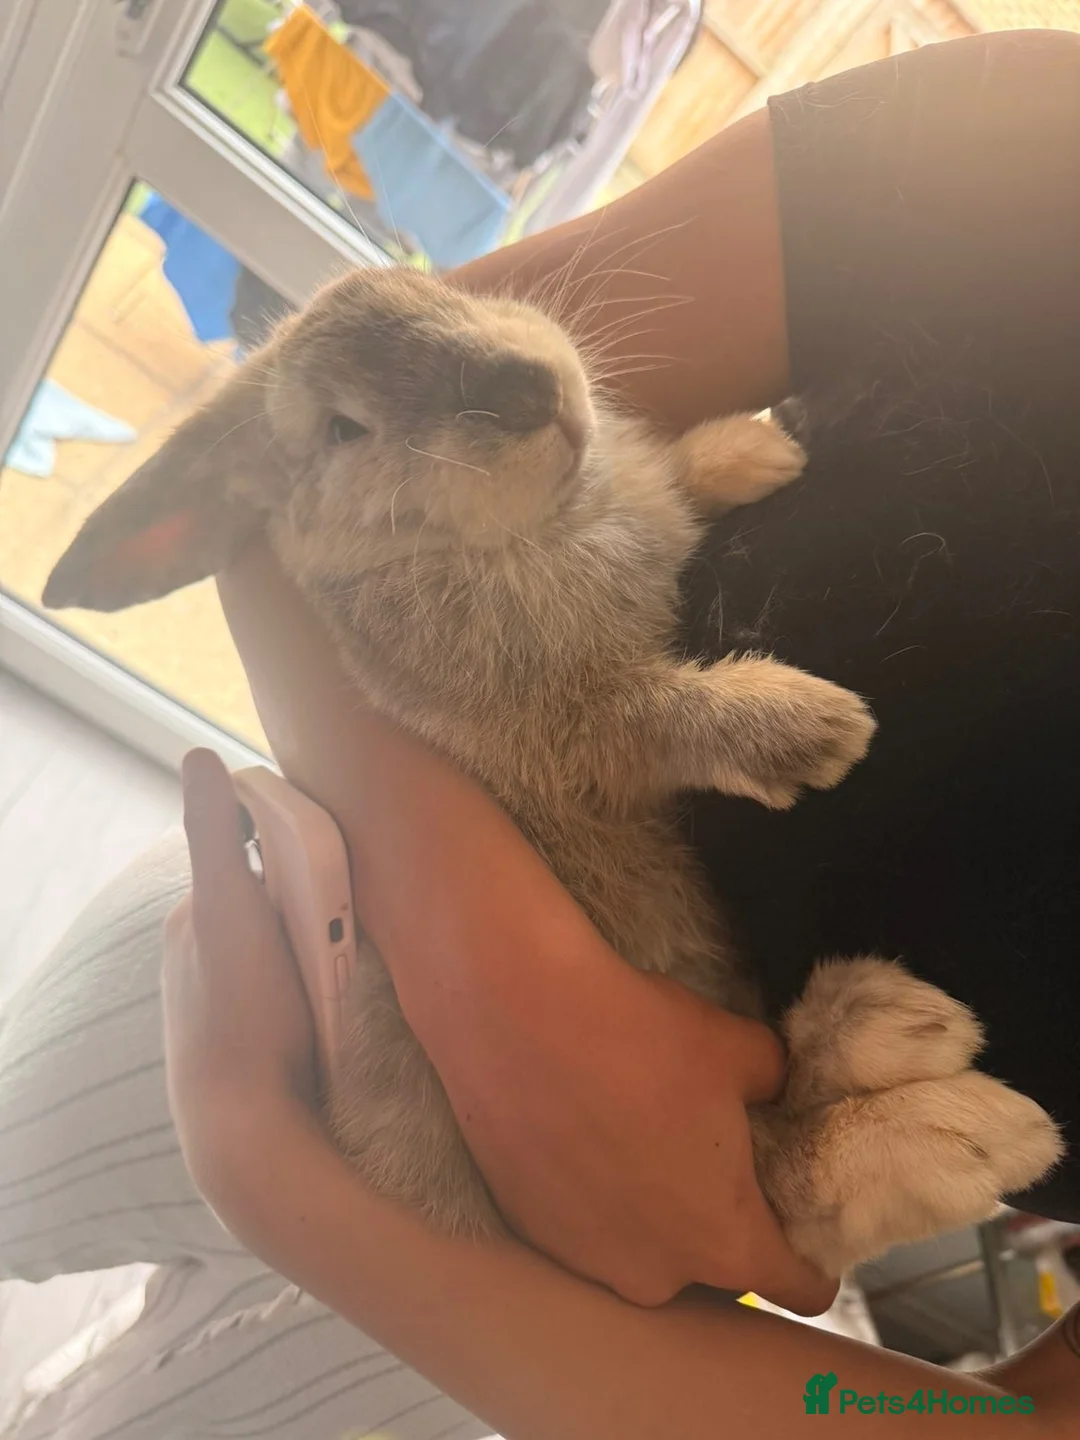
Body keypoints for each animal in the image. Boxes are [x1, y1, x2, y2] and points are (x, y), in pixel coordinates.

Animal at [43, 266, 1062, 1276]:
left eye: (420, 285)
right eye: (341, 429)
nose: (523, 388)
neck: (532, 525)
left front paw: (752, 452)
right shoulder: (574, 729)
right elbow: (661, 713)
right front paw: (816, 729)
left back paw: (889, 1028)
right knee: (783, 1187)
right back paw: (958, 1122)